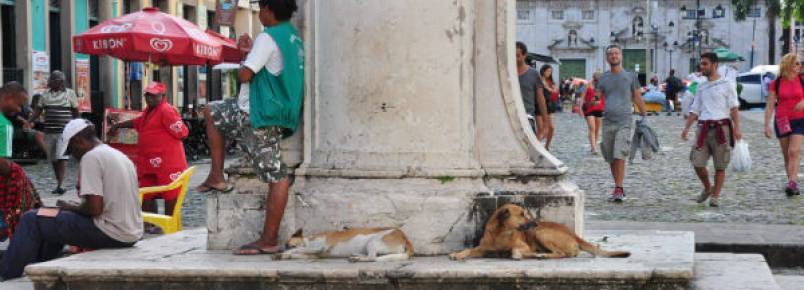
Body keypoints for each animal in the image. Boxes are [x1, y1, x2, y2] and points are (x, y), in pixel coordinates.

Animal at [446, 204, 628, 260]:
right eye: (521, 215)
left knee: (562, 254)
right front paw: (458, 254)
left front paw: (516, 254)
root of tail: (573, 234)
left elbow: (516, 249)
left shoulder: (524, 245)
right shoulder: (481, 249)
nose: (534, 223)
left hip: (542, 233)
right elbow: (469, 250)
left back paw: (542, 255)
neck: (501, 234)